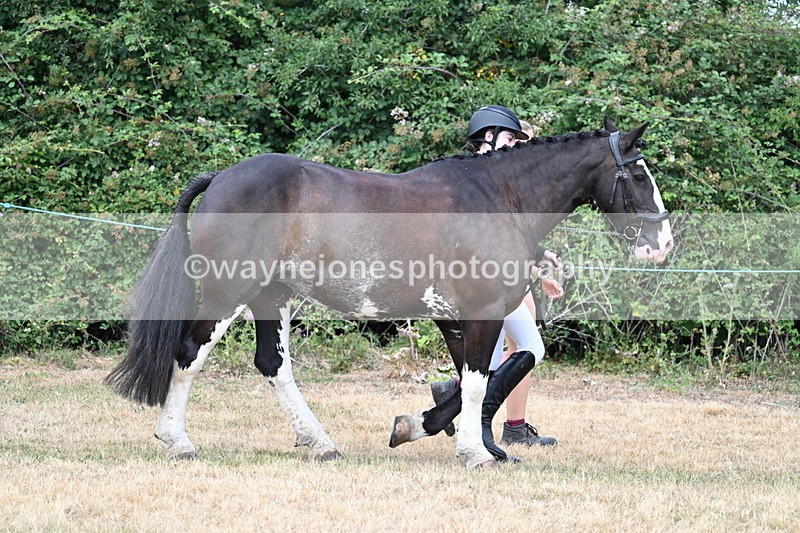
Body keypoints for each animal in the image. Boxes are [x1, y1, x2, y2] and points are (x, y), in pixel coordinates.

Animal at [106, 117, 673, 469]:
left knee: (273, 365)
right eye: (638, 174)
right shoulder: (483, 311)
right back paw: (177, 442)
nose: (663, 243)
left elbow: (475, 382)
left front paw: (420, 426)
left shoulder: (455, 316)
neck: (498, 199)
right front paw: (473, 453)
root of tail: (222, 176)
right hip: (230, 291)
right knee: (188, 353)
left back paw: (320, 444)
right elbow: (475, 384)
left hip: (272, 295)